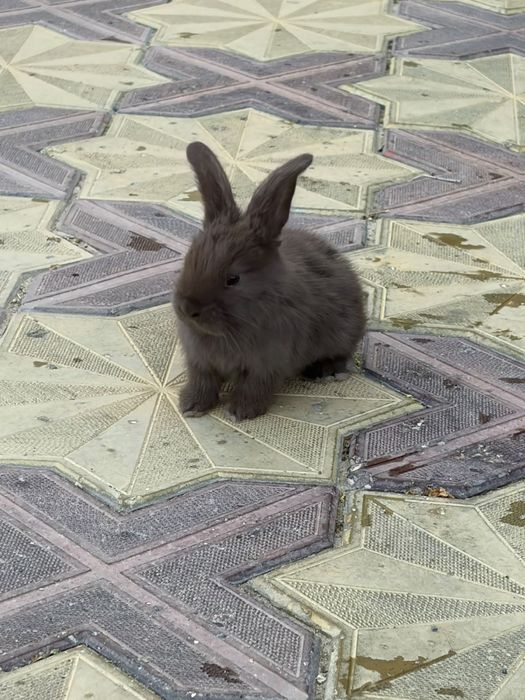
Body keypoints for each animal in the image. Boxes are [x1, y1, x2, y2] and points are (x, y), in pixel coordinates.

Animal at [173, 141, 366, 421]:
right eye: (188, 261)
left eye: (233, 278)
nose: (188, 309)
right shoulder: (200, 362)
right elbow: (203, 382)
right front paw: (191, 405)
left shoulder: (266, 365)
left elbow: (255, 387)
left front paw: (240, 411)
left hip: (343, 333)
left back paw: (326, 371)